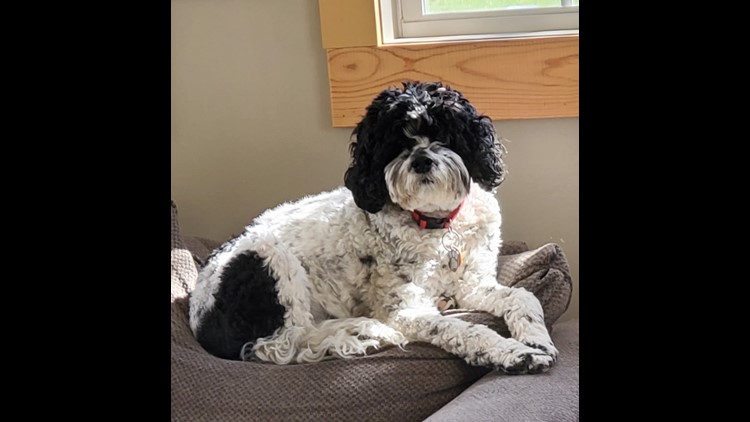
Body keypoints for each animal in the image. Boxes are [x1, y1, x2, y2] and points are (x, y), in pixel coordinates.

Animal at [189, 81, 560, 372]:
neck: (436, 226)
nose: (421, 161)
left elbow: (524, 296)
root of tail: (198, 316)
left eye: (444, 132)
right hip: (270, 258)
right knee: (286, 343)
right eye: (395, 142)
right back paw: (363, 332)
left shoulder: (472, 284)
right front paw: (513, 353)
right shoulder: (405, 309)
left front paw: (536, 340)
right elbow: (467, 330)